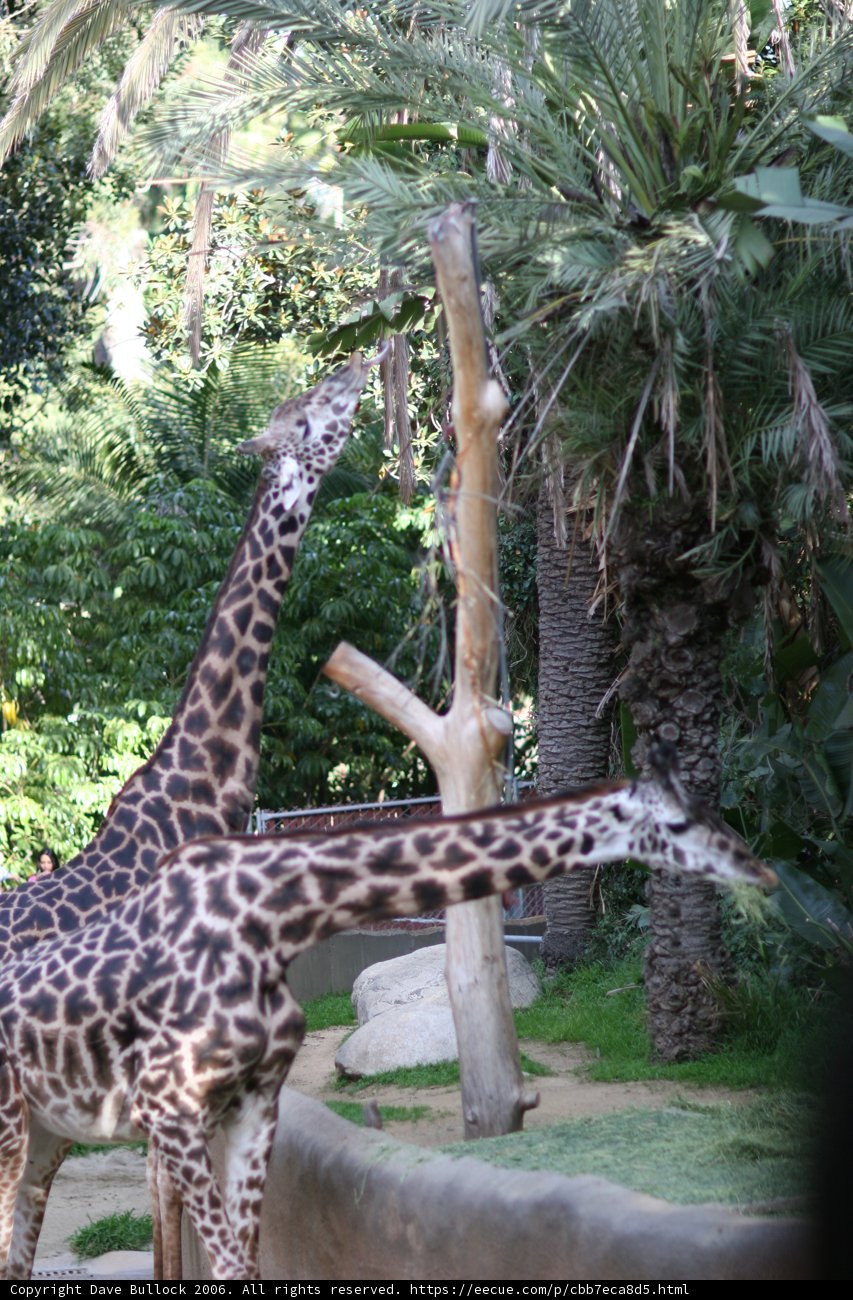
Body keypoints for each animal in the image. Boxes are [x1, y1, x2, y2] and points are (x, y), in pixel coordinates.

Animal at [0, 752, 775, 1280]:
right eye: (677, 822)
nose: (762, 870)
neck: (275, 918)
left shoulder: (252, 1102)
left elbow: (241, 1261)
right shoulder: (169, 1108)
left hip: (46, 1133)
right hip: (13, 1121)